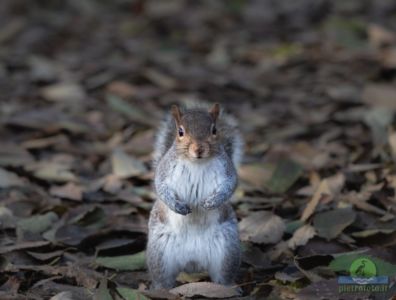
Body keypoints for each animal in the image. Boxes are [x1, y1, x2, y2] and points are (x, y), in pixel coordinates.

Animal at [147, 102, 243, 288]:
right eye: (180, 132)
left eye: (214, 130)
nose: (199, 149)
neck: (196, 162)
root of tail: (193, 262)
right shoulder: (164, 170)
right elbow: (161, 187)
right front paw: (178, 206)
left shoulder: (227, 170)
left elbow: (229, 186)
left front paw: (212, 203)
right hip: (159, 254)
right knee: (163, 279)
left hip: (227, 250)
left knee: (223, 277)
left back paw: (229, 288)